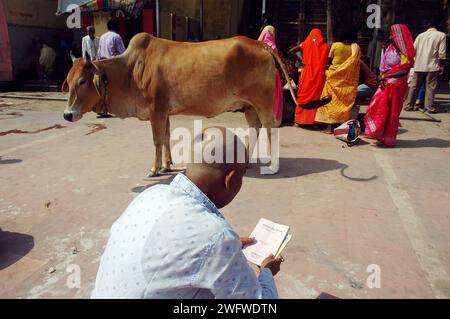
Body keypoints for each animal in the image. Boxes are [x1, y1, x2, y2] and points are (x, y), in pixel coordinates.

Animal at [62, 33, 296, 178]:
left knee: (271, 128)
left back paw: (272, 166)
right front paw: (167, 165)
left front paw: (154, 169)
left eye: (82, 81)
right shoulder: (164, 112)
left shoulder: (156, 110)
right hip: (248, 106)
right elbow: (166, 137)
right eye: (69, 80)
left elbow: (157, 140)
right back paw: (246, 160)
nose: (67, 114)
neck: (130, 70)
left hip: (262, 102)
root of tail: (259, 44)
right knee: (255, 128)